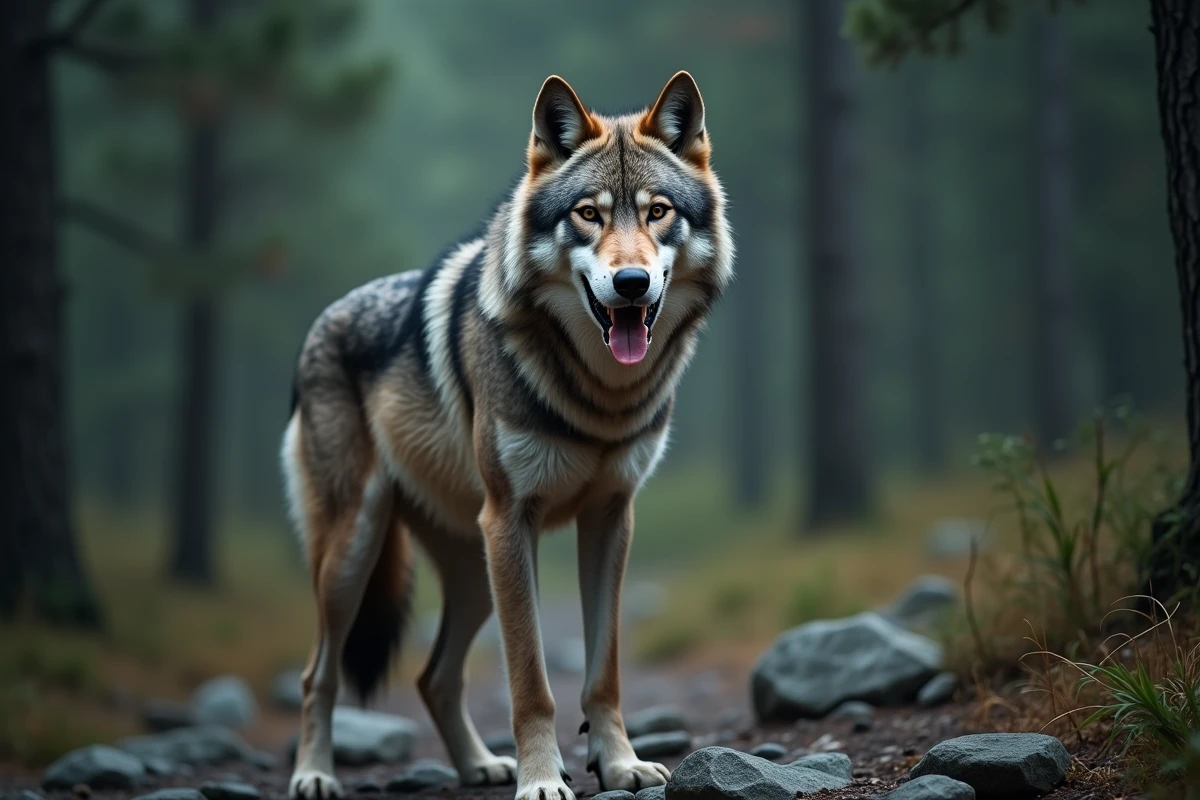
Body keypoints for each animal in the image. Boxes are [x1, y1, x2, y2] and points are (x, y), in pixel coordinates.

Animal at [281, 71, 733, 800]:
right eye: (588, 214)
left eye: (658, 212)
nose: (631, 282)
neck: (599, 398)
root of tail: (324, 320)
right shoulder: (513, 520)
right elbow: (531, 683)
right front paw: (543, 780)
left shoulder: (611, 519)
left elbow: (603, 673)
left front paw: (620, 765)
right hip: (358, 554)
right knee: (317, 673)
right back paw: (315, 774)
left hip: (471, 571)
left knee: (433, 677)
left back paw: (478, 766)